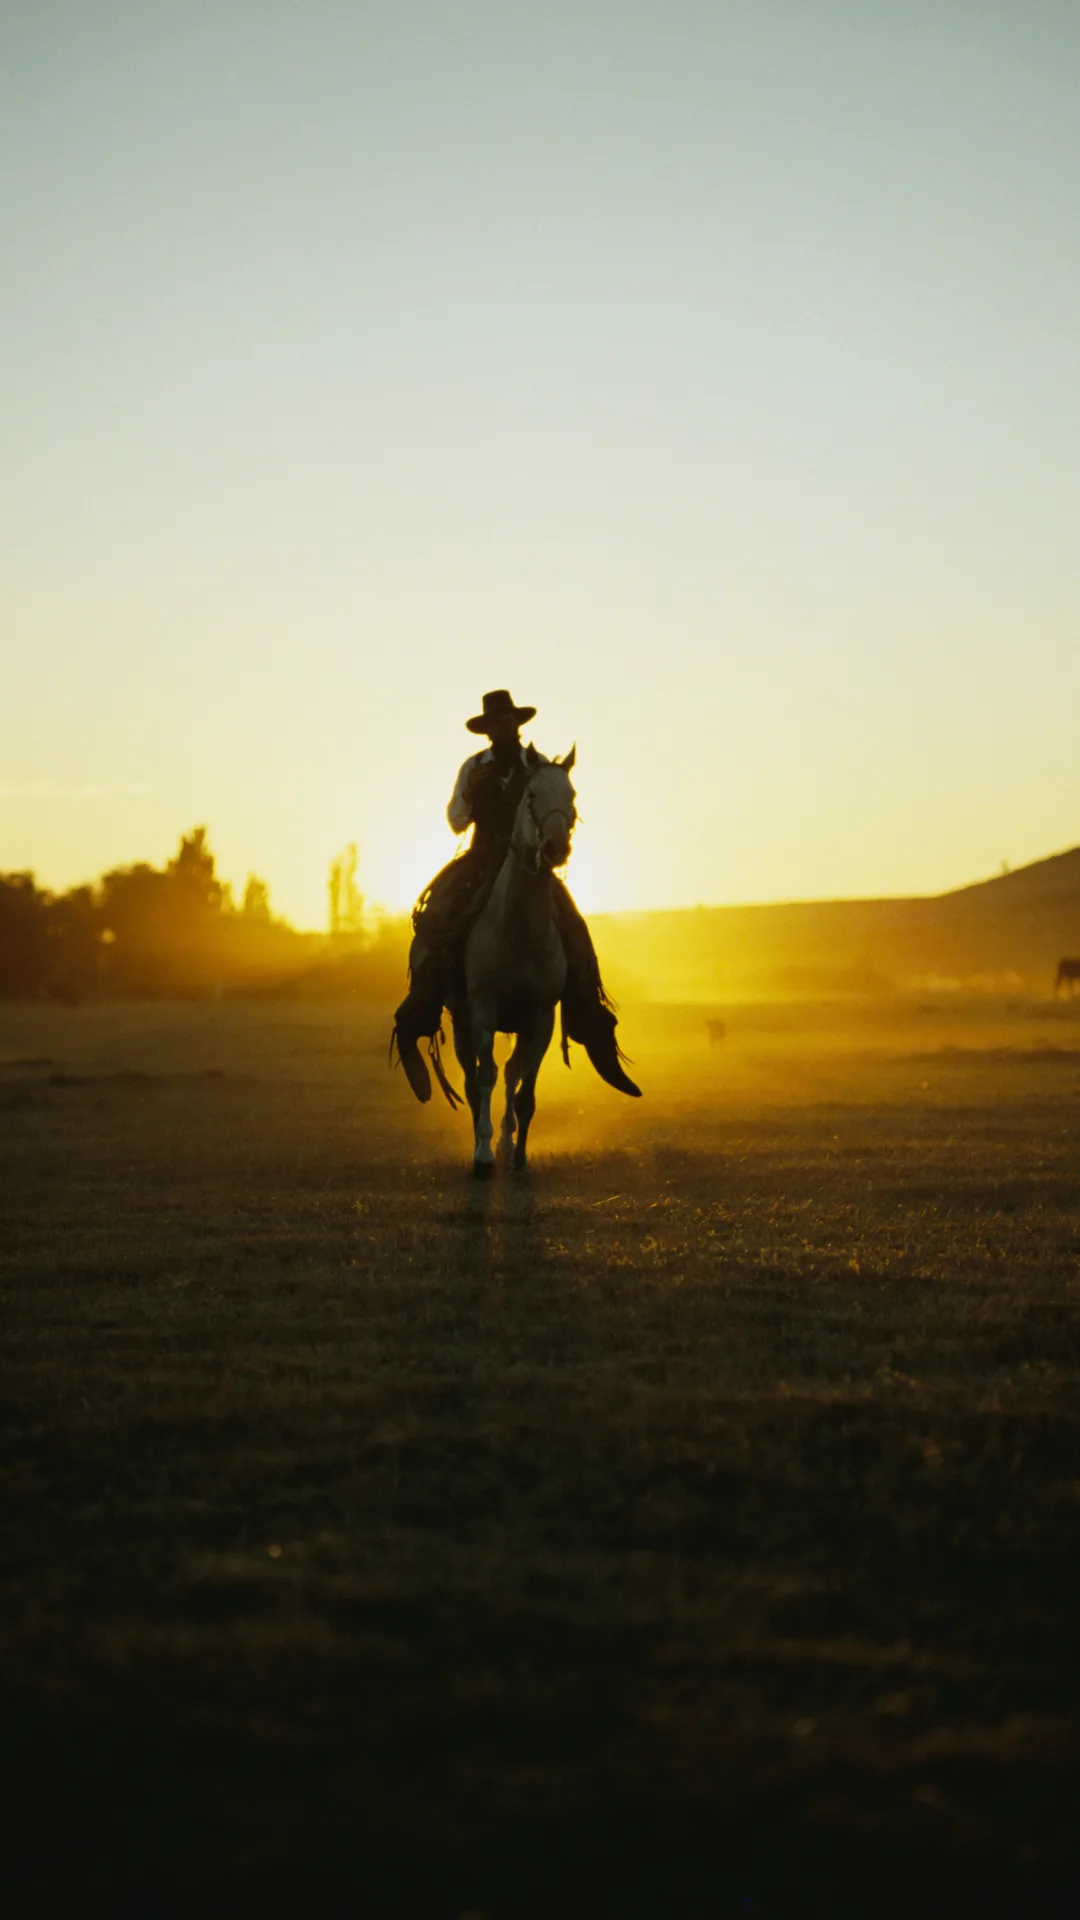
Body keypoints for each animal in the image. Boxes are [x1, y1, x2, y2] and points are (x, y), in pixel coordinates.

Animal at [447, 752, 580, 1175]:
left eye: (572, 794)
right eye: (532, 793)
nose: (556, 848)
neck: (519, 930)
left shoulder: (540, 1017)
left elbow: (525, 1087)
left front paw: (518, 1154)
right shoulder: (483, 1010)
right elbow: (484, 1075)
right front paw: (483, 1153)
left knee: (511, 1072)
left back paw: (506, 1141)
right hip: (460, 1021)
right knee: (474, 1078)